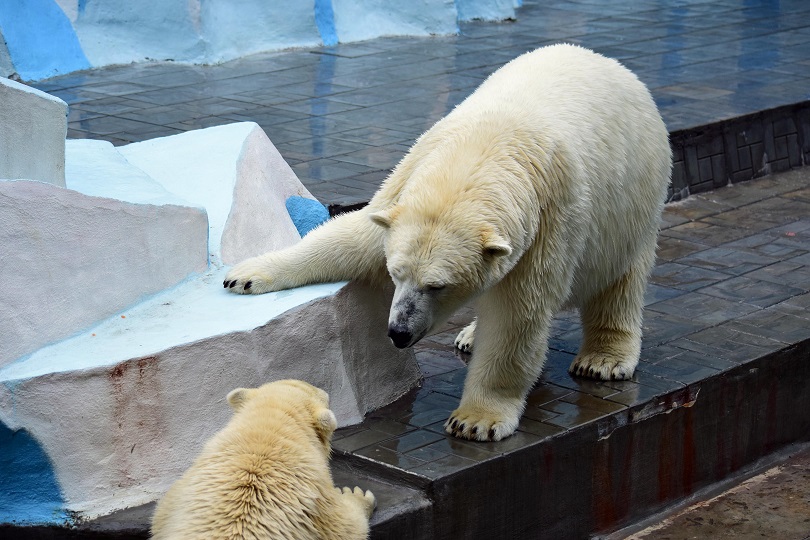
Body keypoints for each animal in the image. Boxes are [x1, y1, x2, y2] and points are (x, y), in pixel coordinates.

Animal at [152, 380, 376, 540]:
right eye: (324, 396)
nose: (327, 391)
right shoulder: (314, 500)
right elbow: (345, 529)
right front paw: (355, 494)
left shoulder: (178, 495)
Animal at [221, 45, 668, 442]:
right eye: (395, 273)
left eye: (438, 286)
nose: (399, 332)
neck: (485, 150)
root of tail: (612, 64)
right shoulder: (412, 176)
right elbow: (355, 237)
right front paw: (246, 275)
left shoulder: (547, 222)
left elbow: (517, 317)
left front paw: (476, 420)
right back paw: (470, 335)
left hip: (633, 206)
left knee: (620, 282)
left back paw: (603, 359)